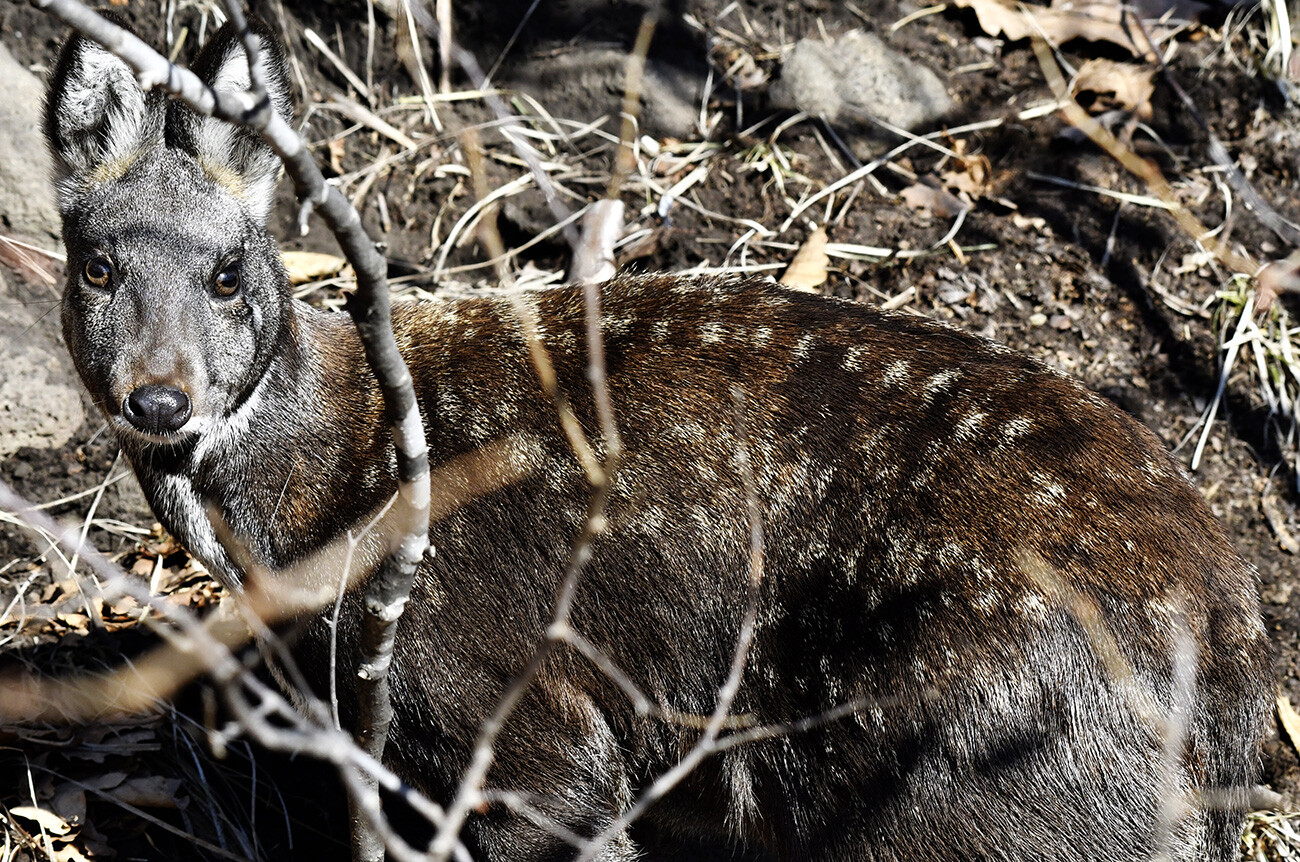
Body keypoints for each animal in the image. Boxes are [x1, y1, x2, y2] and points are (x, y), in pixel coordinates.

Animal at [43, 15, 1268, 862]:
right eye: (95, 264)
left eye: (227, 272)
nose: (160, 400)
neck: (326, 496)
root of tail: (1231, 666)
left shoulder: (522, 719)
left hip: (969, 793)